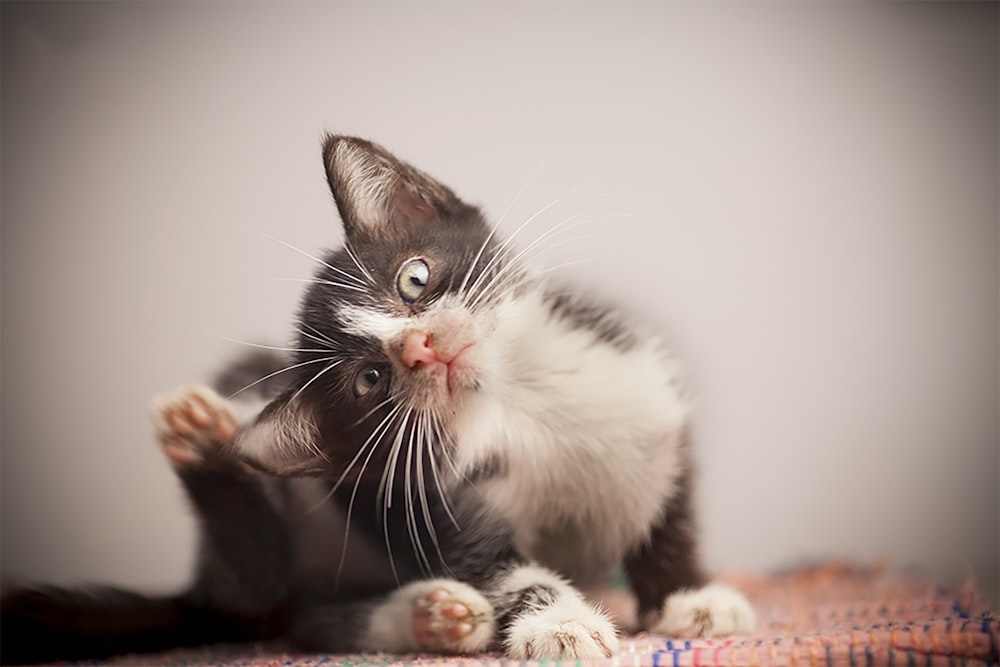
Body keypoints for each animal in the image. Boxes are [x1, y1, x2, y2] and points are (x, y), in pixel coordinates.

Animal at [0, 137, 752, 667]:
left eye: (413, 279)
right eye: (370, 379)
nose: (418, 347)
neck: (523, 401)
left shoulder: (650, 405)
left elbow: (670, 517)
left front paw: (690, 598)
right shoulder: (443, 503)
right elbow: (501, 571)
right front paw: (558, 620)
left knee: (302, 617)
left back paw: (431, 616)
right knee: (262, 604)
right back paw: (206, 442)